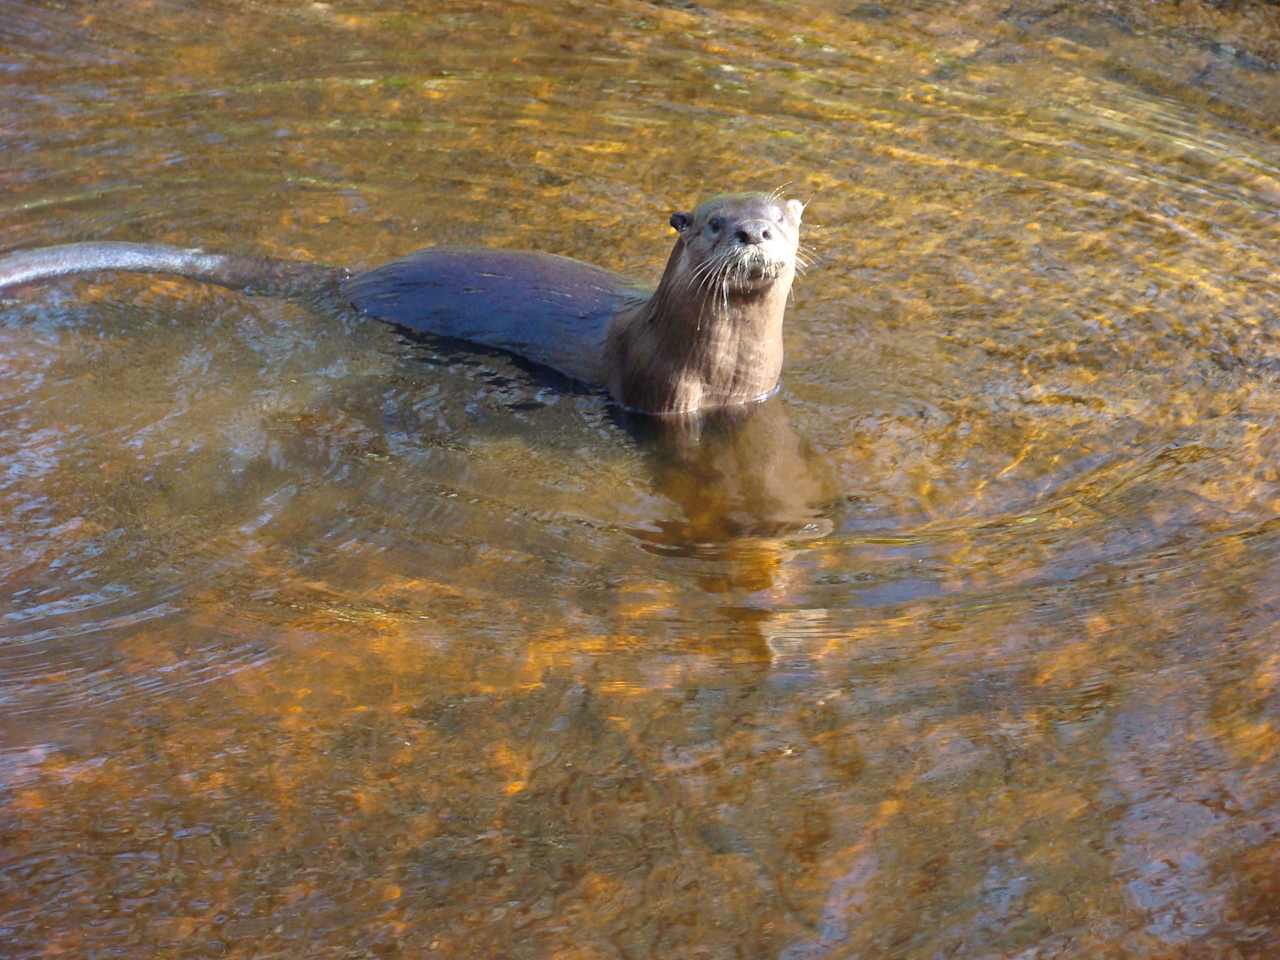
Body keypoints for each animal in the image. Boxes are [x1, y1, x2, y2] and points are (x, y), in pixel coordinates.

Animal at [0, 193, 798, 414]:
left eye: (779, 218)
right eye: (716, 222)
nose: (754, 231)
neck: (729, 374)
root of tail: (359, 279)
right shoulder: (657, 395)